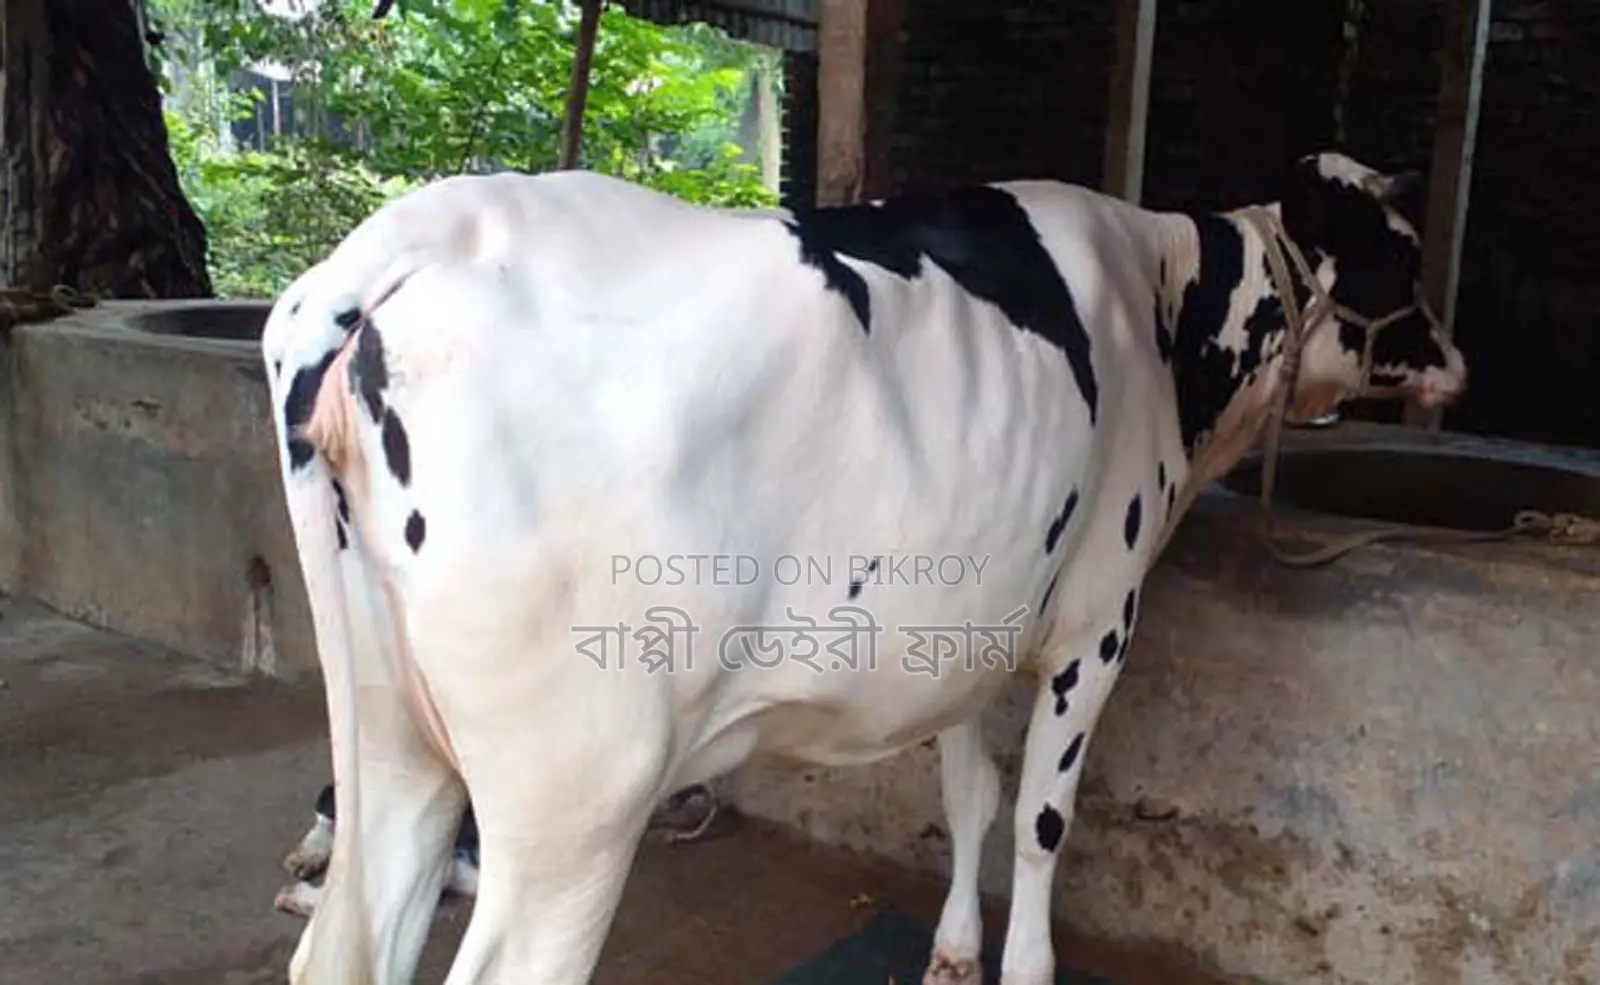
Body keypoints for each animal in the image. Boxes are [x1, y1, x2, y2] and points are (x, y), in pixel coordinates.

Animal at [261, 150, 1467, 985]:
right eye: (1399, 251)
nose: (1458, 362)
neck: (1165, 306)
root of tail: (410, 244)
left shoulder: (965, 635)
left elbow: (970, 794)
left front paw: (952, 952)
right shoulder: (1096, 621)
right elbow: (1041, 817)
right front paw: (1026, 965)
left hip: (394, 738)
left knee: (343, 948)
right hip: (575, 794)